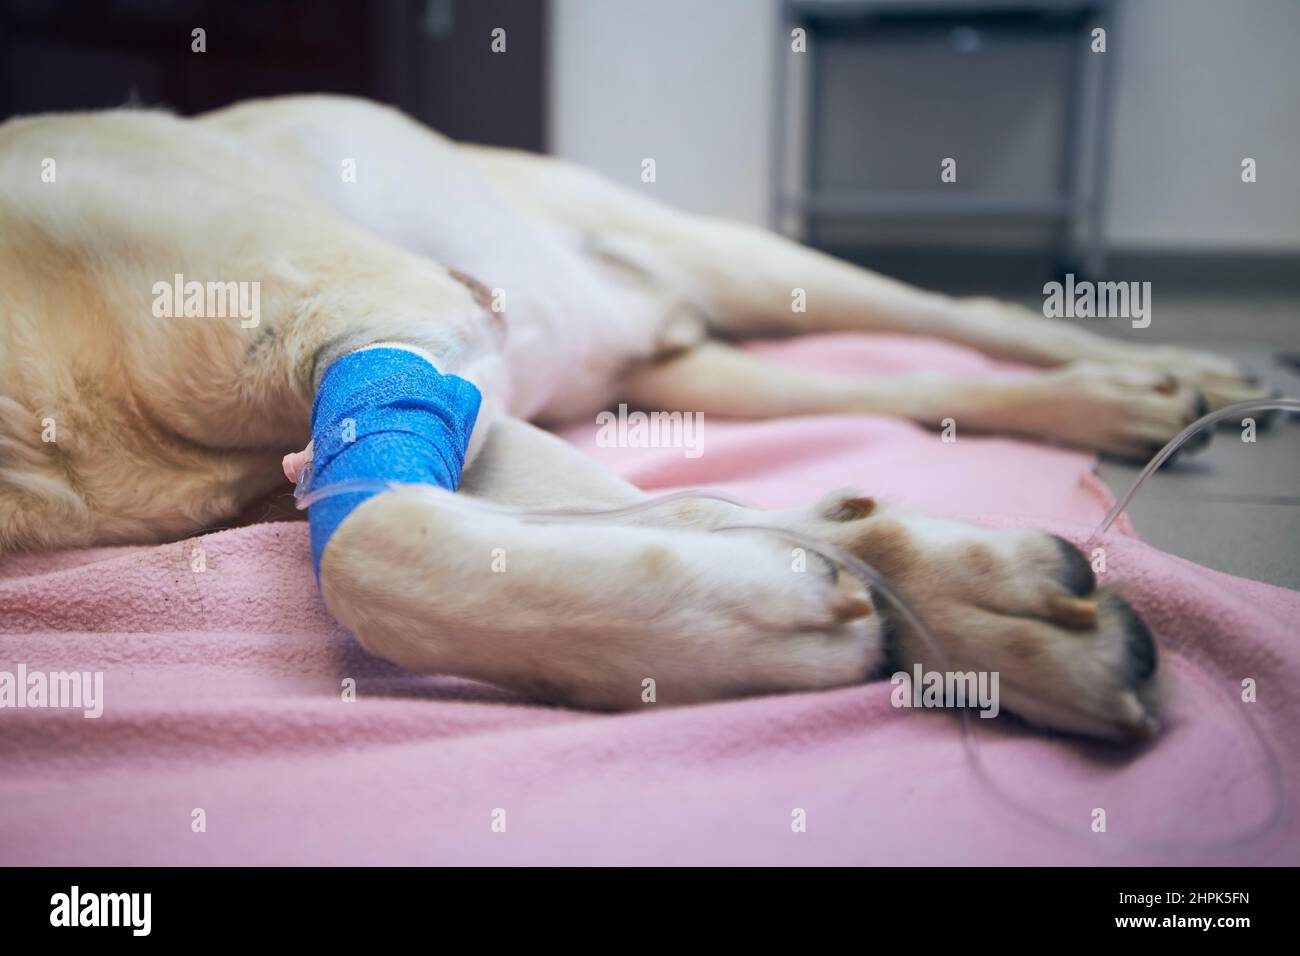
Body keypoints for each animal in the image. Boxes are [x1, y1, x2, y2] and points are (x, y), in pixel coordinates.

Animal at [0, 95, 1263, 738]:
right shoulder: (425, 401)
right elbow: (660, 513)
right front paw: (925, 600)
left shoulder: (397, 309)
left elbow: (371, 550)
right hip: (693, 373)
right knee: (909, 386)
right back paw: (1119, 405)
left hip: (739, 256)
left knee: (965, 311)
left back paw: (1187, 375)